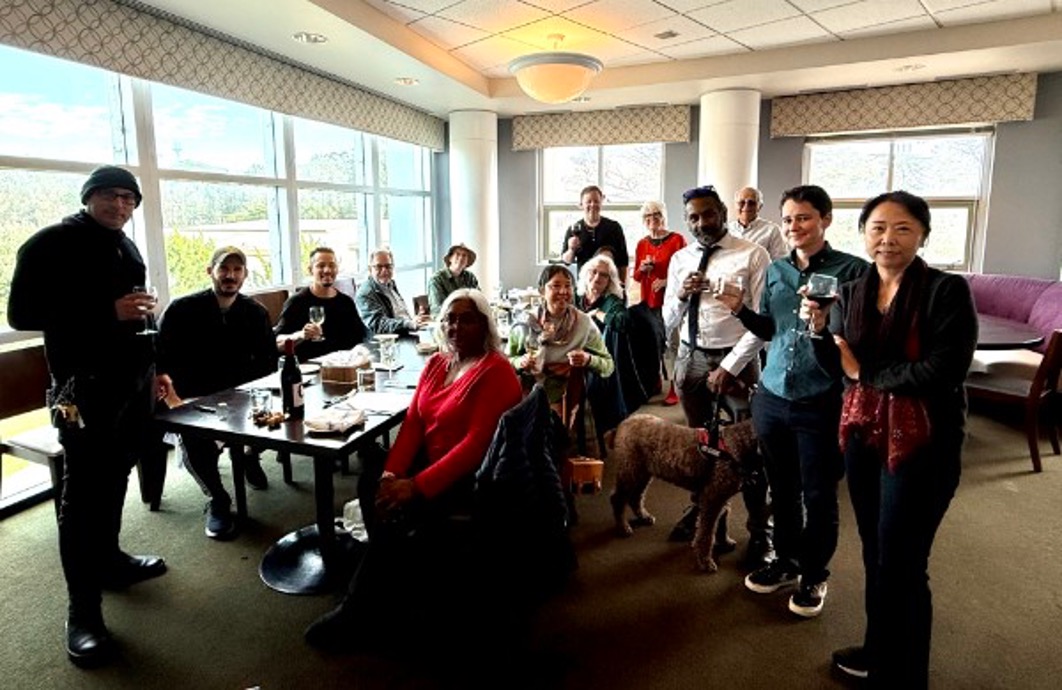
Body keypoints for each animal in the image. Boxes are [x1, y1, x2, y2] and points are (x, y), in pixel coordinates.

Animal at [611, 414, 751, 568]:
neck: (737, 445)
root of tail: (622, 424)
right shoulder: (712, 498)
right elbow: (706, 533)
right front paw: (705, 560)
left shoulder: (722, 497)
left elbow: (722, 523)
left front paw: (725, 542)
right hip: (629, 471)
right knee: (617, 499)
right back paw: (623, 527)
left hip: (642, 473)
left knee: (635, 497)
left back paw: (643, 516)